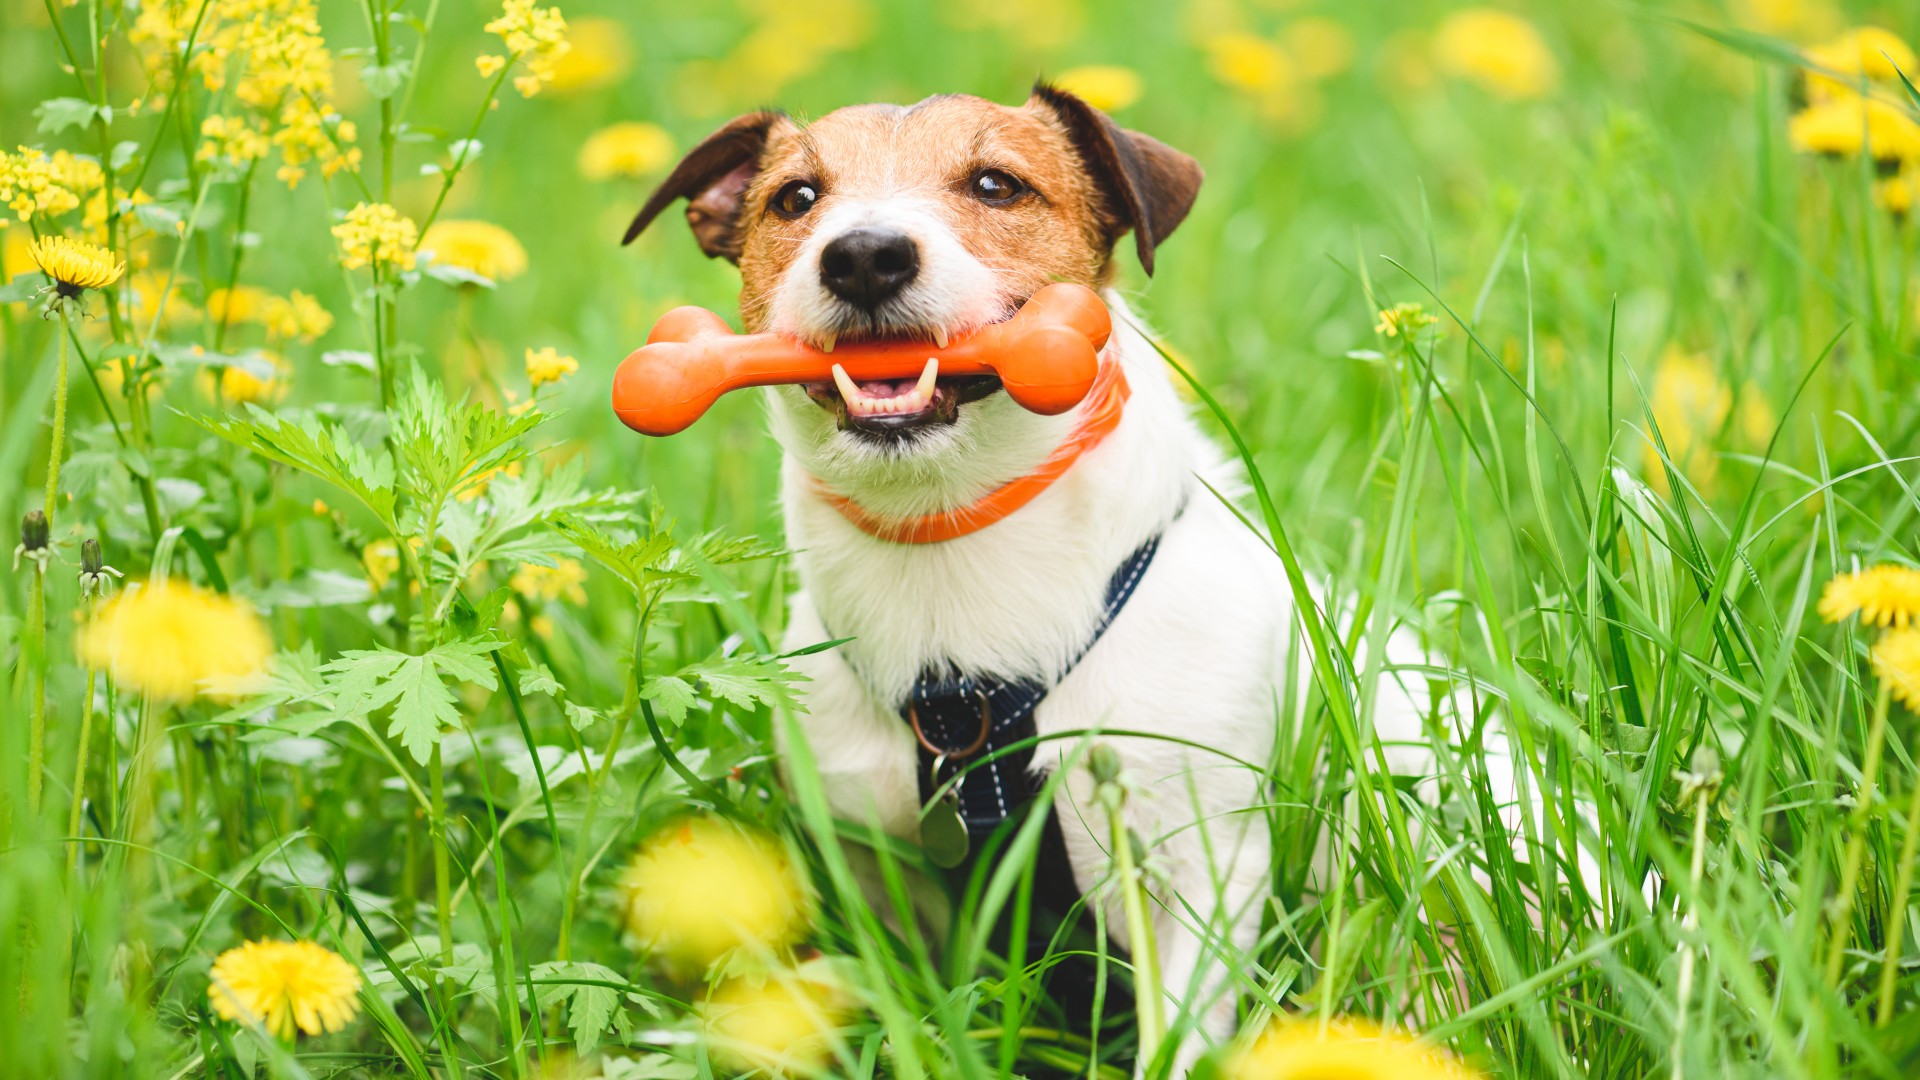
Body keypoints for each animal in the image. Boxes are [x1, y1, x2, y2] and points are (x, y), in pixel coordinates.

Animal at [622, 84, 1328, 1068]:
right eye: (796, 199)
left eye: (997, 184)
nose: (863, 256)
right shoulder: (873, 871)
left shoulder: (1202, 863)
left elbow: (1181, 1036)